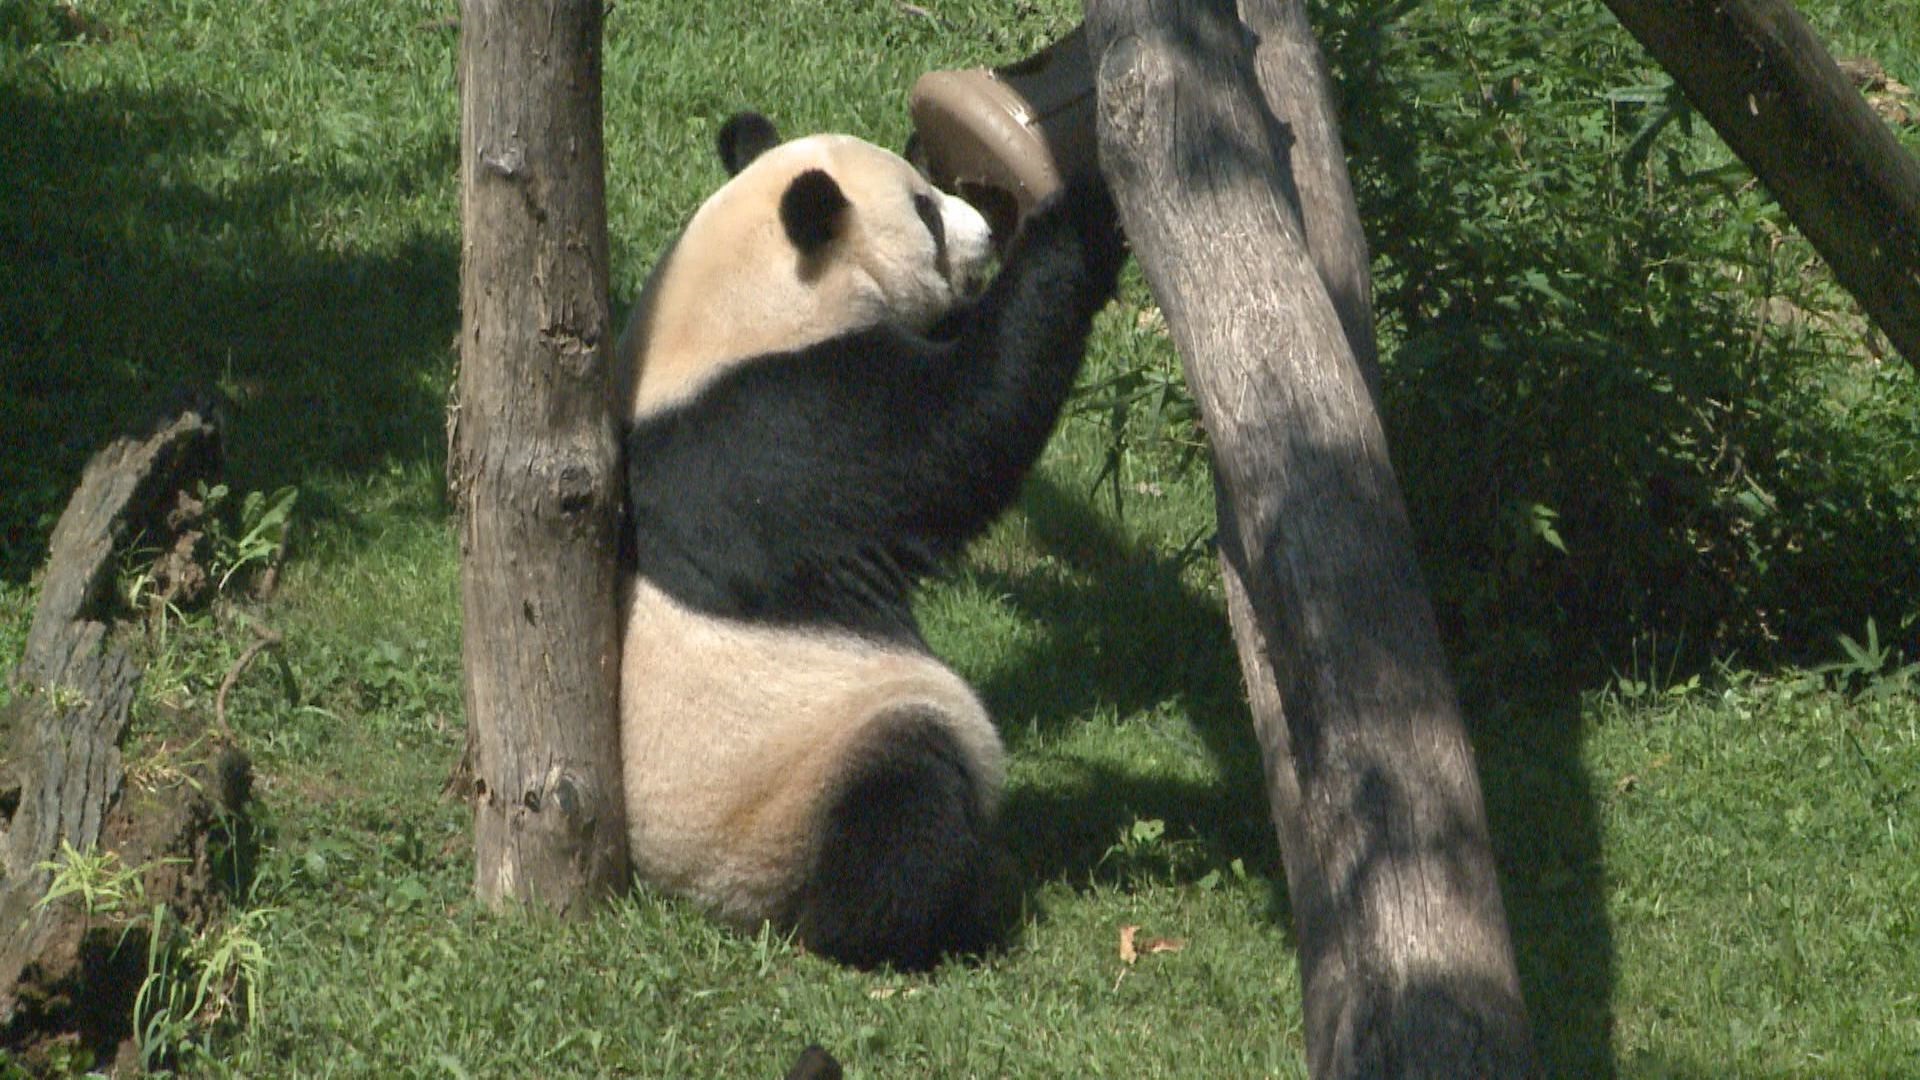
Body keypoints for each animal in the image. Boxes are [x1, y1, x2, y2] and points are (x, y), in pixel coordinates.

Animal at [614, 109, 1121, 968]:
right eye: (925, 211)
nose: (985, 230)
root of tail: (702, 899)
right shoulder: (794, 426)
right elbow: (966, 423)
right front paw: (1084, 221)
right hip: (803, 770)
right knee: (903, 802)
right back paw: (929, 921)